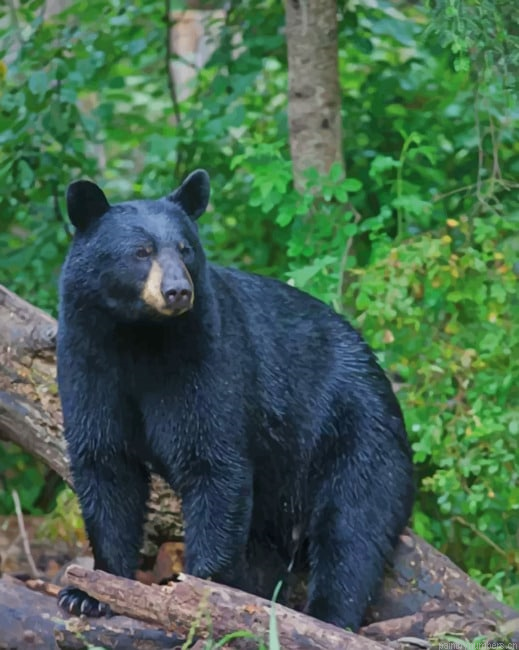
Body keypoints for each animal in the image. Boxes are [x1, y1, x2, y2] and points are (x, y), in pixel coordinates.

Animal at [56, 168, 414, 631]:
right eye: (141, 251)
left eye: (186, 249)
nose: (177, 291)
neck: (139, 337)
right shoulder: (88, 360)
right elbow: (105, 465)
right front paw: (88, 593)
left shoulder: (206, 359)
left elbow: (214, 463)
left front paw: (201, 594)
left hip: (356, 430)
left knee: (354, 525)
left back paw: (327, 615)